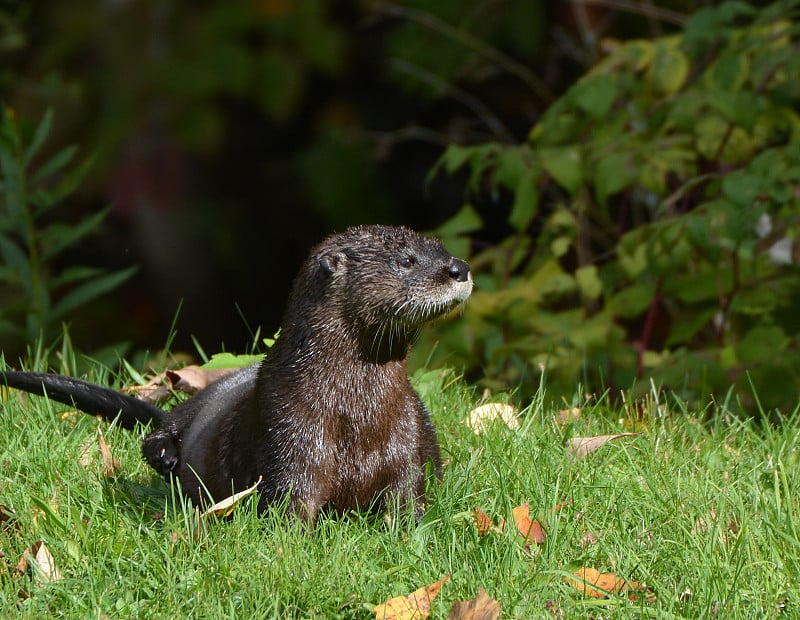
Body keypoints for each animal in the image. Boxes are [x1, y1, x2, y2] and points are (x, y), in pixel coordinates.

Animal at [3, 225, 472, 520]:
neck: (355, 412)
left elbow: (409, 495)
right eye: (407, 260)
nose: (460, 268)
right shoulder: (289, 436)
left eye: (440, 248)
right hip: (207, 397)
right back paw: (165, 454)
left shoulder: (407, 440)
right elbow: (289, 503)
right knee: (163, 427)